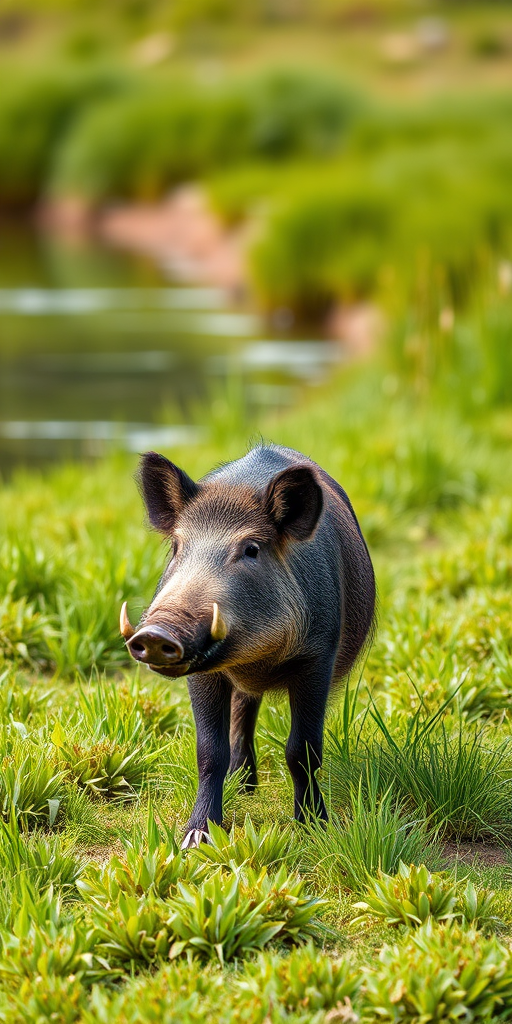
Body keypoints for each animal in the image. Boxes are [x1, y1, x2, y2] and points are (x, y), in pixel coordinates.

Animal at [120, 444, 375, 848]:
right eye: (177, 546)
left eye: (251, 549)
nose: (157, 633)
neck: (256, 660)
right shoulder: (204, 674)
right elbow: (210, 751)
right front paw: (195, 839)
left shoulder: (317, 657)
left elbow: (302, 749)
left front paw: (313, 827)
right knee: (243, 713)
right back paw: (243, 787)